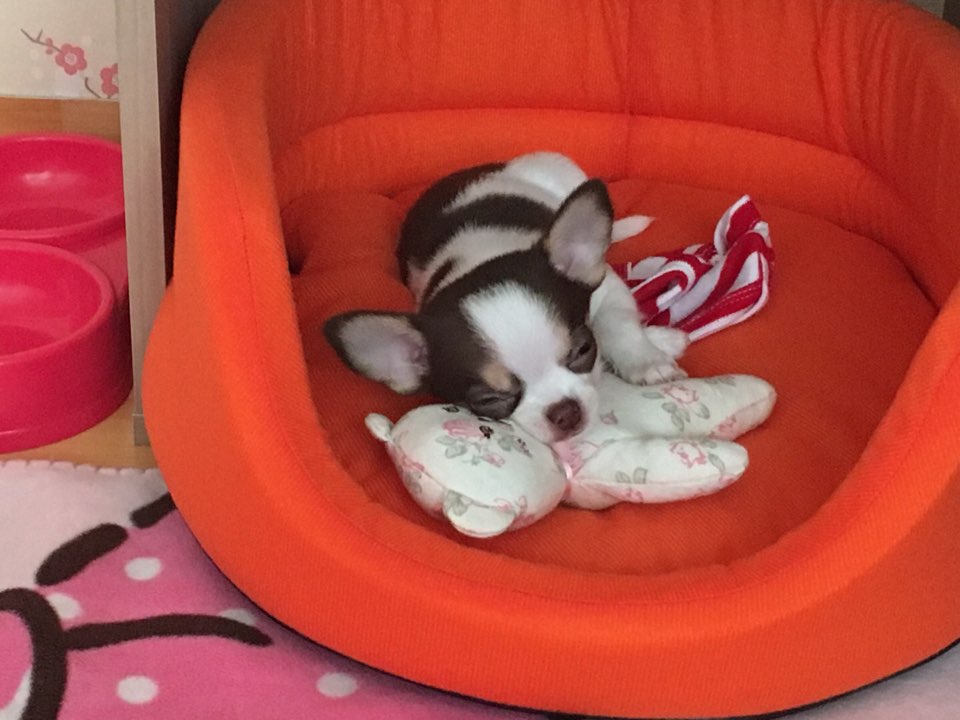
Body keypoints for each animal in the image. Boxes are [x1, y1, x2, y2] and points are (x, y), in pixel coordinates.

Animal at [324, 152, 688, 444]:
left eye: (584, 349)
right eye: (489, 400)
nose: (565, 412)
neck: (482, 260)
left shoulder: (606, 288)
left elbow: (619, 326)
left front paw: (647, 360)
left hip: (560, 169)